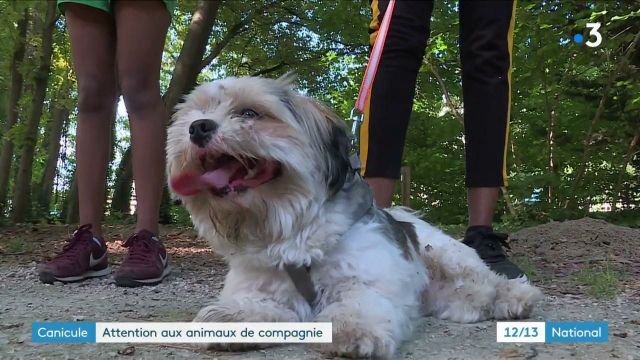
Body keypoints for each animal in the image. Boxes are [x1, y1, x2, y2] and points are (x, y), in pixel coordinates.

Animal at [168, 75, 544, 358]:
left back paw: (515, 298)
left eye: (249, 112)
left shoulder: (365, 277)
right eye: (196, 113)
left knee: (488, 284)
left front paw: (354, 328)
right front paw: (230, 316)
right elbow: (256, 305)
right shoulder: (267, 286)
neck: (293, 230)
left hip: (448, 257)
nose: (198, 127)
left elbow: (360, 302)